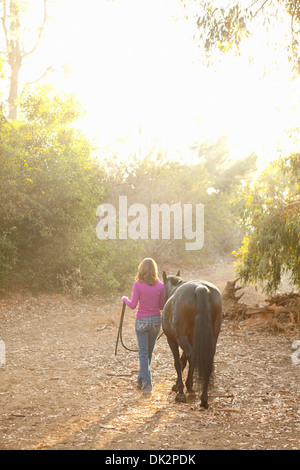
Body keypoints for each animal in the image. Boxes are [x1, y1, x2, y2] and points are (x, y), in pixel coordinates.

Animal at [162, 272, 223, 408]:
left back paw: (188, 388)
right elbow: (184, 360)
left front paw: (179, 388)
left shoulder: (172, 341)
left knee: (192, 356)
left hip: (181, 339)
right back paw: (204, 399)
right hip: (212, 339)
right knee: (206, 360)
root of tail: (201, 288)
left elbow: (178, 363)